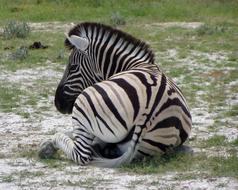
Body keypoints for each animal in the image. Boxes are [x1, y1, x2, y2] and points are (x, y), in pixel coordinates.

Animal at [38, 22, 192, 168]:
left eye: (73, 67)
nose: (58, 104)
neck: (137, 64)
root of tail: (149, 111)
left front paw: (47, 143)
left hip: (82, 103)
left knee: (81, 153)